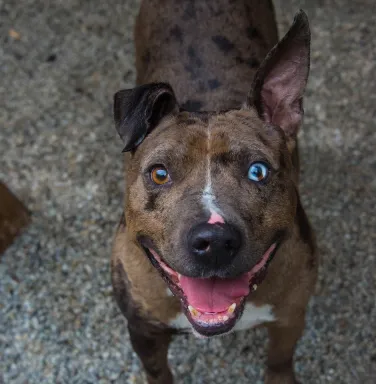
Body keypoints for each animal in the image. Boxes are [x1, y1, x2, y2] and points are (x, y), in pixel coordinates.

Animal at [111, 1, 318, 382]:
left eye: (257, 171)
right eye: (159, 174)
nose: (214, 241)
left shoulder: (290, 320)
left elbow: (279, 361)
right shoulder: (143, 330)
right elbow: (158, 371)